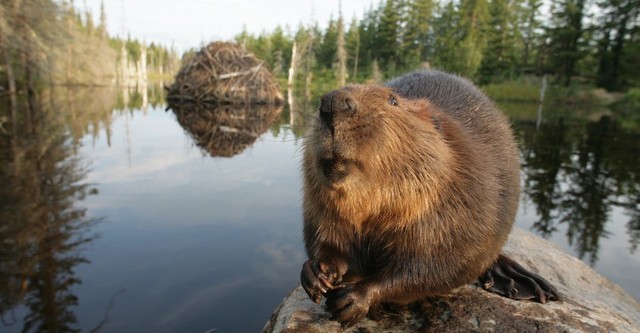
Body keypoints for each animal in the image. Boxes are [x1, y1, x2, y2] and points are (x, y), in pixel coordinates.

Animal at [302, 70, 556, 326]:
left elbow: (435, 265)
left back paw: (525, 283)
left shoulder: (461, 202)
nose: (332, 102)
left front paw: (354, 299)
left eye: (393, 100)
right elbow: (325, 239)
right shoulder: (319, 205)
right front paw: (316, 273)